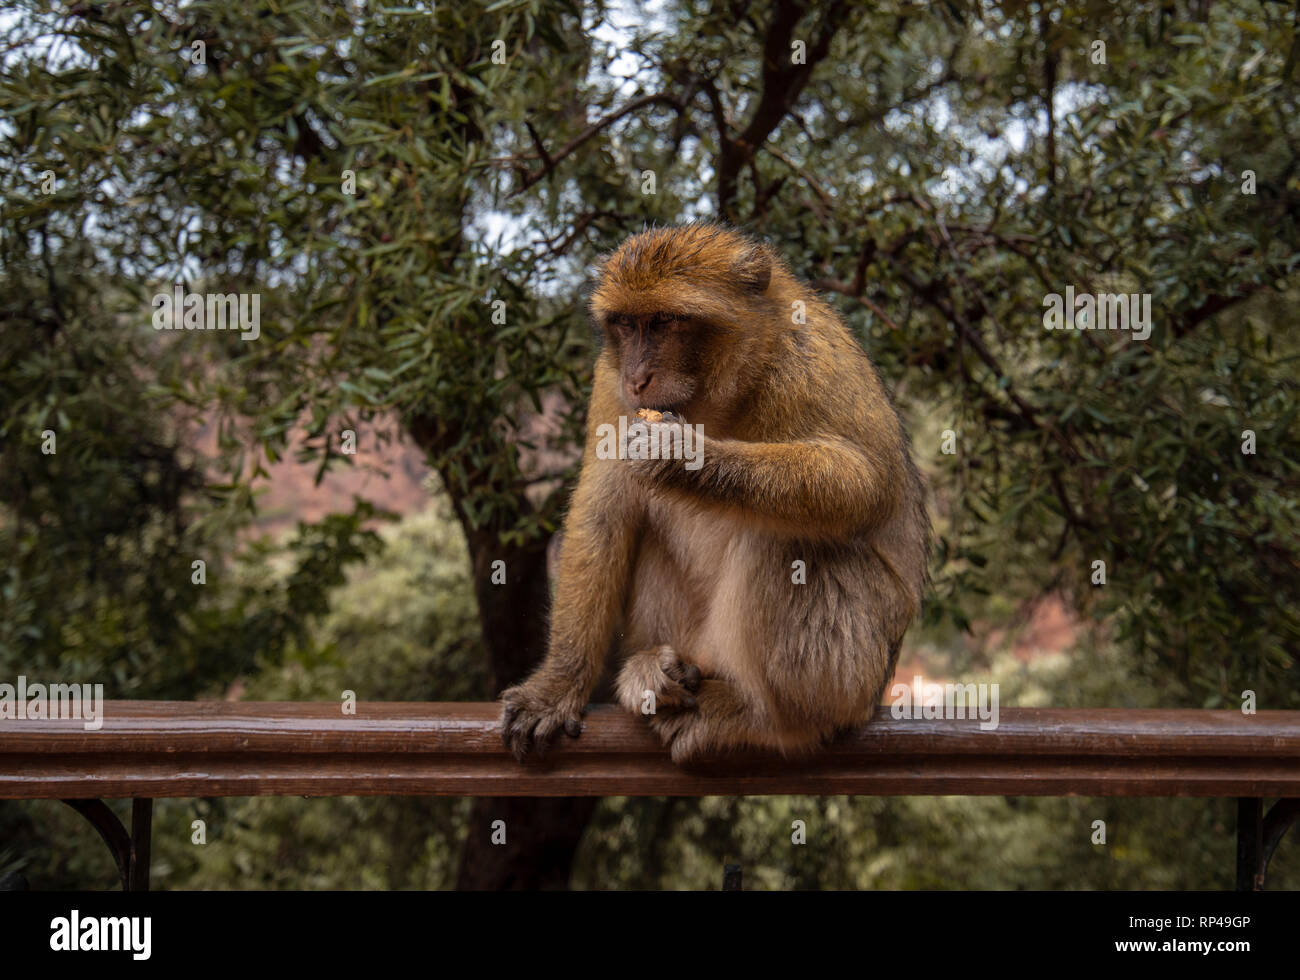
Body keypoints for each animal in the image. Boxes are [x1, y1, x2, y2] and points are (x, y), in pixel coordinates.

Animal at [500, 222, 930, 764]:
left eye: (665, 321)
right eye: (626, 325)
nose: (637, 379)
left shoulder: (808, 359)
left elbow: (862, 481)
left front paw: (681, 455)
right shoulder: (608, 382)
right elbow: (602, 510)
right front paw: (556, 686)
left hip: (856, 673)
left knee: (790, 541)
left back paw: (767, 719)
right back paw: (656, 672)